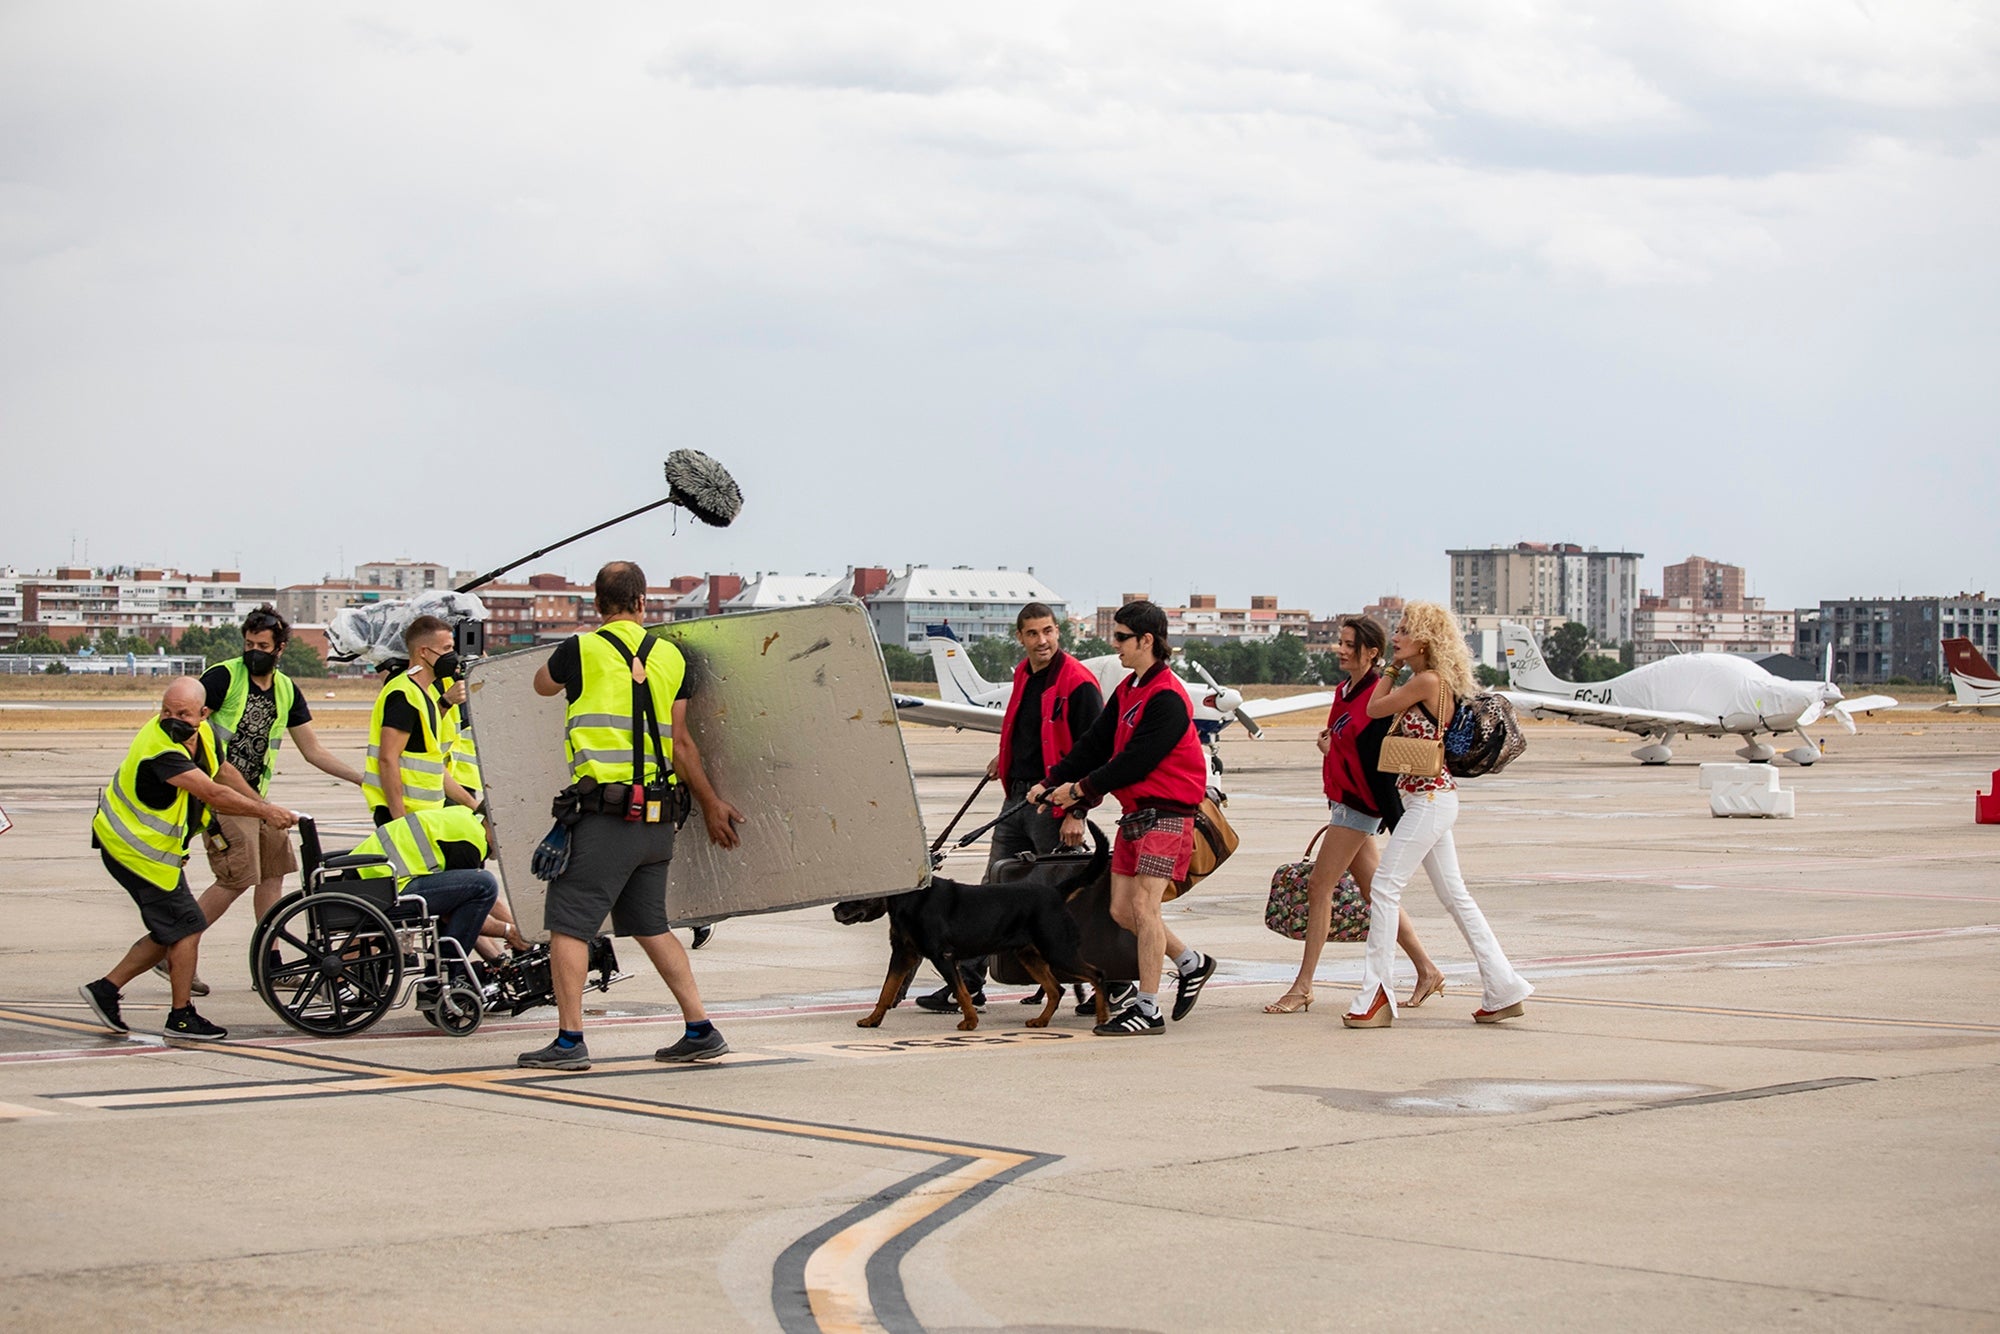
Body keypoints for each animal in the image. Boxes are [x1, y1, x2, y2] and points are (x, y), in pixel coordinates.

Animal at [824, 824, 1112, 1032]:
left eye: (858, 894)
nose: (835, 910)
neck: (909, 899)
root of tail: (1056, 892)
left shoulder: (942, 955)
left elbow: (960, 991)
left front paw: (970, 1022)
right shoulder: (904, 954)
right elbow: (887, 991)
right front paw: (872, 1020)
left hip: (1057, 949)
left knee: (1096, 975)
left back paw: (1102, 1017)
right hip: (1029, 954)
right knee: (1057, 989)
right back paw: (1041, 1021)